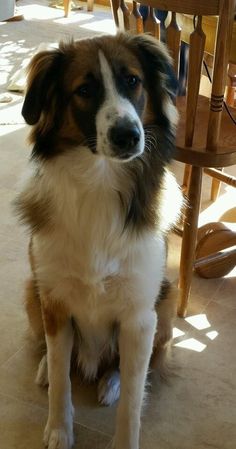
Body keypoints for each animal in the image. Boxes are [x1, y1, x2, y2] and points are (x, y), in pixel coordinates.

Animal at [15, 32, 183, 448]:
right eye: (85, 90)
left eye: (133, 81)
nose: (128, 136)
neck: (99, 182)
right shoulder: (54, 300)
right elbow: (62, 379)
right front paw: (59, 429)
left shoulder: (139, 317)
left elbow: (133, 404)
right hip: (32, 291)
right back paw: (45, 365)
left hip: (166, 301)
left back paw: (112, 381)